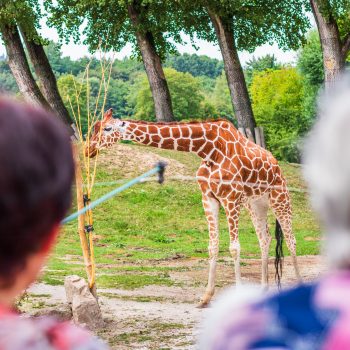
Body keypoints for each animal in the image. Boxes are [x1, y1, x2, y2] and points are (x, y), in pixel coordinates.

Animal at [87, 108, 300, 306]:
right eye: (94, 128)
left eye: (107, 128)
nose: (88, 149)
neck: (208, 149)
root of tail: (276, 163)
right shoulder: (209, 198)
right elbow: (213, 246)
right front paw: (205, 297)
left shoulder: (230, 198)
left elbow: (234, 248)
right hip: (255, 204)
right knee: (265, 238)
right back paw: (263, 289)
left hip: (280, 197)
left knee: (291, 240)